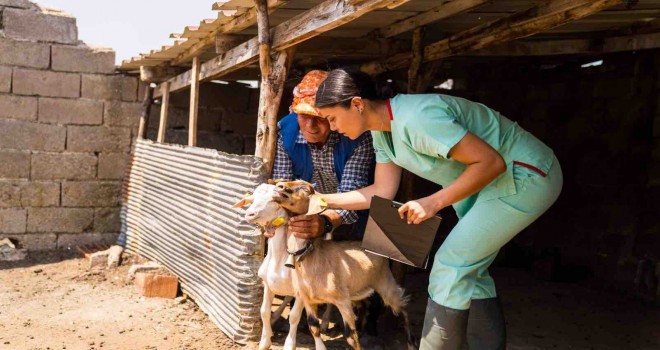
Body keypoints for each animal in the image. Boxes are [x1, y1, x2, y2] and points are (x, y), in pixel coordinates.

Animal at [270, 180, 416, 350]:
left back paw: (411, 343)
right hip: (359, 289)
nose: (280, 185)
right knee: (365, 306)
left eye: (306, 188)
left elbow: (350, 337)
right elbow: (314, 327)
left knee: (402, 305)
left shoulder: (342, 300)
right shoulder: (308, 299)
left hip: (385, 283)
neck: (310, 257)